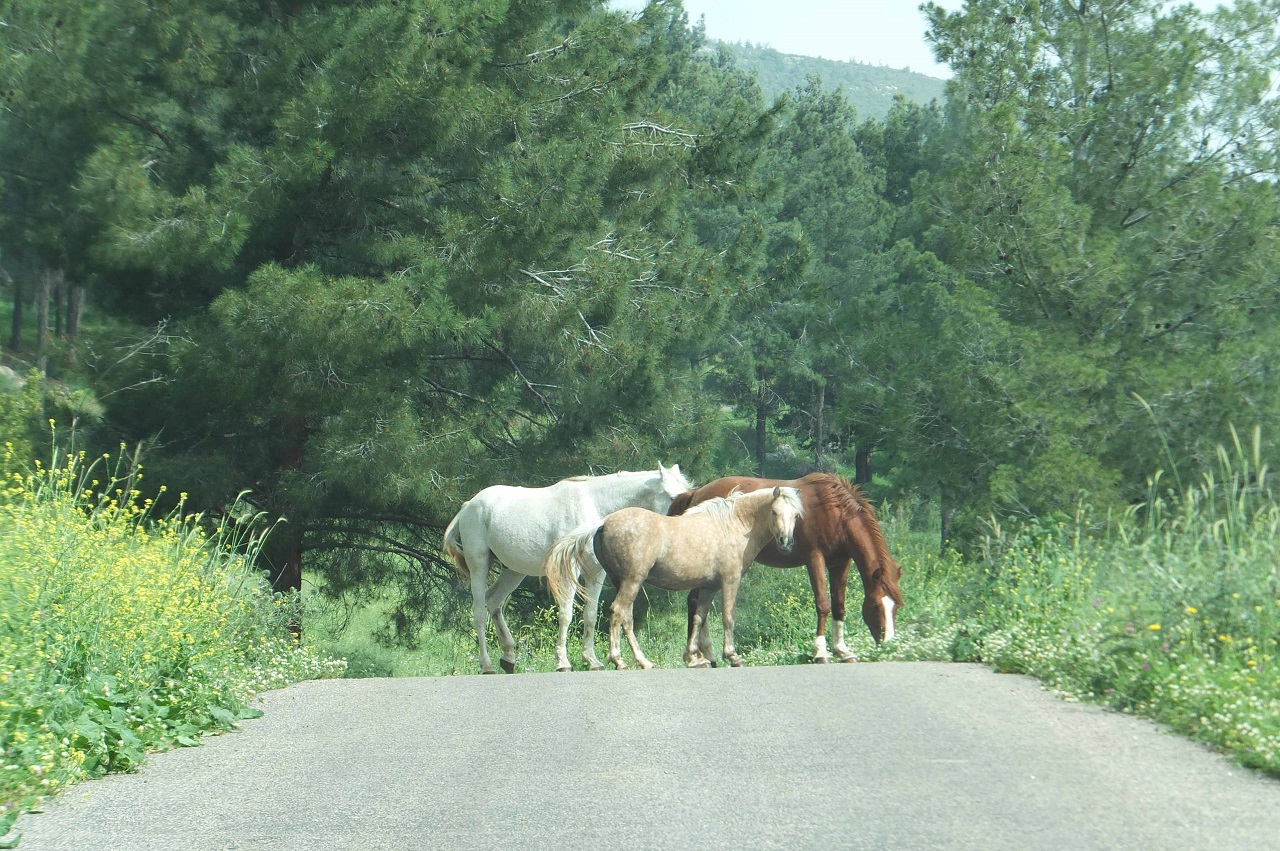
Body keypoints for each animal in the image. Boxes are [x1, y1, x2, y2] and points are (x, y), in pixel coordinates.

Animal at [445, 460, 696, 675]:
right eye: (673, 496)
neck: (594, 505)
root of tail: (468, 506)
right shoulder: (569, 570)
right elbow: (566, 614)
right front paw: (563, 662)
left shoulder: (595, 572)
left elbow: (590, 615)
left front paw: (592, 661)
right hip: (479, 565)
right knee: (479, 611)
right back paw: (487, 665)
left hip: (514, 571)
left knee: (494, 601)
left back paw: (508, 658)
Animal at [545, 483, 803, 670]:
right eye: (774, 512)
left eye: (795, 516)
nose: (786, 542)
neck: (733, 524)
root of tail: (603, 523)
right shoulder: (730, 581)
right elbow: (728, 617)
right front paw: (732, 656)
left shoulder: (709, 587)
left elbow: (698, 618)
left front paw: (693, 657)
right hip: (632, 581)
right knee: (618, 612)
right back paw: (619, 660)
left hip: (624, 583)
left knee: (626, 618)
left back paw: (643, 661)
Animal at [670, 470, 901, 665]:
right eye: (875, 606)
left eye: (896, 606)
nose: (888, 644)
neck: (835, 513)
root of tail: (696, 493)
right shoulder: (815, 558)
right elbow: (823, 604)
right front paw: (820, 652)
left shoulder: (840, 563)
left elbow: (839, 606)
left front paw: (842, 651)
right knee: (695, 601)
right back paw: (697, 657)